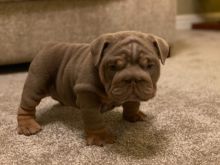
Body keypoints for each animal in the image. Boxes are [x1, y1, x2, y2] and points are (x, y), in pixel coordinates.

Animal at [16, 30, 170, 146]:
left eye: (149, 65)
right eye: (112, 67)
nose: (133, 79)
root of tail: (46, 46)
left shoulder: (132, 96)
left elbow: (132, 103)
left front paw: (133, 115)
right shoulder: (88, 97)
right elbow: (94, 119)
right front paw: (100, 138)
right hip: (37, 81)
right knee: (27, 104)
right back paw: (27, 126)